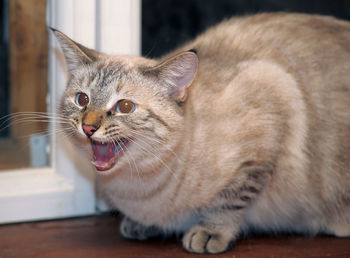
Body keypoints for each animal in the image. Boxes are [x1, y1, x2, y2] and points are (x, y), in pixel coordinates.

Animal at [52, 12, 350, 254]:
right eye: (82, 99)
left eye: (124, 107)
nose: (88, 127)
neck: (137, 188)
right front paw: (140, 225)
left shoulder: (270, 108)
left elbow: (228, 201)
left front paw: (208, 233)